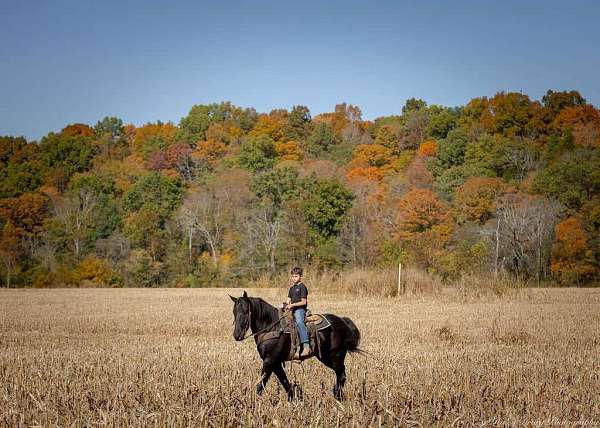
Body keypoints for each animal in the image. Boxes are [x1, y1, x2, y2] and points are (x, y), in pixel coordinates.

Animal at [230, 290, 360, 402]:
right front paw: (294, 400)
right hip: (325, 357)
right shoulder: (276, 363)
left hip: (335, 355)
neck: (271, 327)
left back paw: (338, 396)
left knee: (341, 374)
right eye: (234, 312)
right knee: (340, 373)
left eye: (246, 311)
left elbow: (261, 383)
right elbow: (284, 381)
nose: (237, 335)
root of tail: (343, 321)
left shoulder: (269, 361)